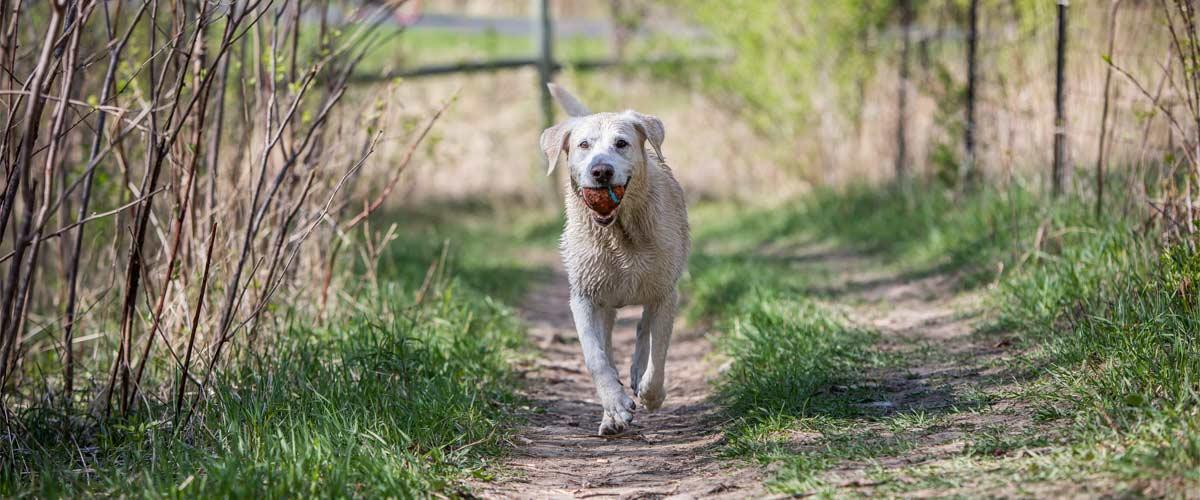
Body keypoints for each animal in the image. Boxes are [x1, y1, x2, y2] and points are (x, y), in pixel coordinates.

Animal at [540, 83, 691, 434]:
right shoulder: (583, 297)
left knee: (644, 328)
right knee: (608, 346)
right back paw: (612, 415)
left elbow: (658, 353)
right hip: (605, 304)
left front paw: (651, 394)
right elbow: (595, 357)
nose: (601, 170)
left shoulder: (665, 292)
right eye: (583, 145)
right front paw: (616, 406)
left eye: (621, 143)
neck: (619, 235)